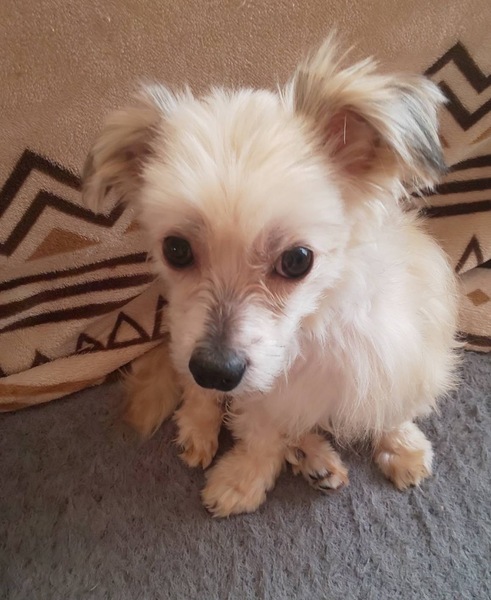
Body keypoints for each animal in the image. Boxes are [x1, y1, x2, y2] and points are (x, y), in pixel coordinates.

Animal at [83, 35, 459, 517]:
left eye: (297, 260)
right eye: (176, 249)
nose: (216, 370)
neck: (312, 332)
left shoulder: (400, 355)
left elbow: (392, 409)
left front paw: (402, 447)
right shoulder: (254, 391)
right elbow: (260, 435)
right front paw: (243, 480)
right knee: (195, 390)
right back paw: (210, 430)